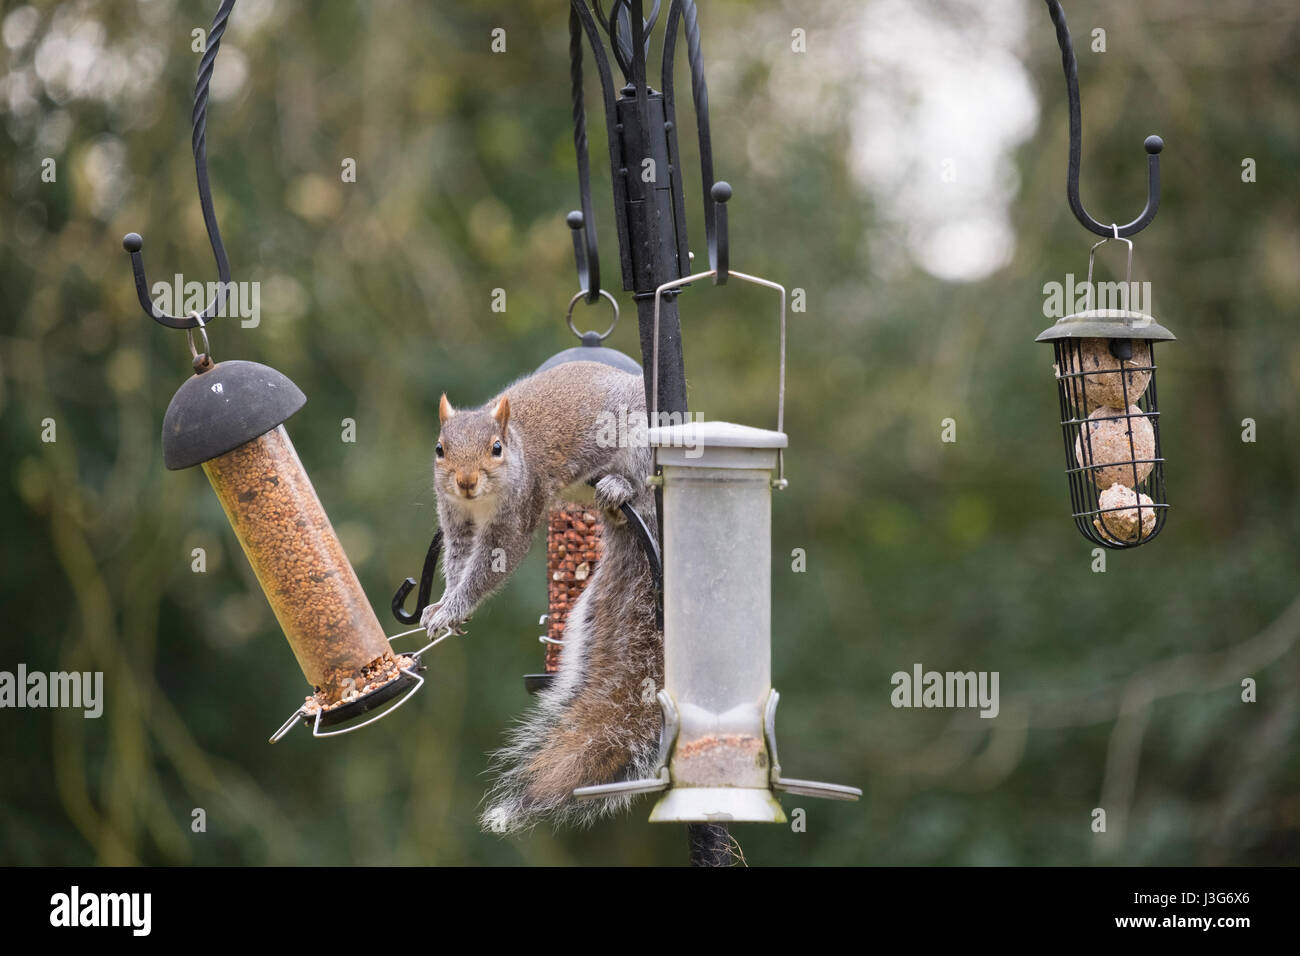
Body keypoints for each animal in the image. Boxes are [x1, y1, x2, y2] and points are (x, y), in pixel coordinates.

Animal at [426, 358, 665, 832]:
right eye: (441, 449)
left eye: (496, 448)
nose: (465, 481)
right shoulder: (457, 519)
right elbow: (458, 561)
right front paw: (444, 605)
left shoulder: (518, 515)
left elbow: (487, 569)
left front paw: (453, 609)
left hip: (641, 446)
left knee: (642, 486)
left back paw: (619, 487)